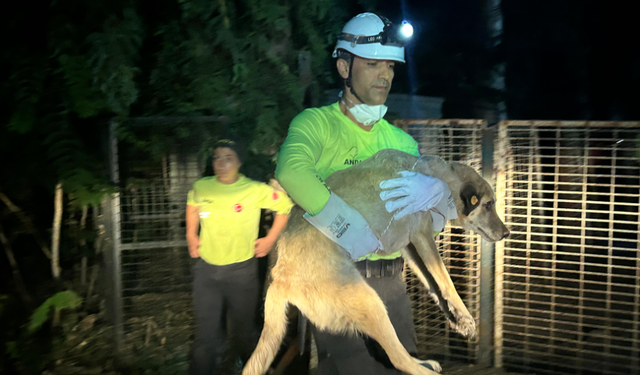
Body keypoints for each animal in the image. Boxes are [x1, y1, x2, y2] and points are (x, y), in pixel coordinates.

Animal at [242, 148, 508, 374]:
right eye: (488, 204)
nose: (506, 233)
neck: (440, 177)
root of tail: (280, 278)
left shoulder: (410, 248)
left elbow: (433, 285)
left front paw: (457, 319)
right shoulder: (422, 237)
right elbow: (446, 281)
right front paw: (466, 317)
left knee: (400, 354)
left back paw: (423, 362)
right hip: (371, 303)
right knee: (399, 360)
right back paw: (422, 368)